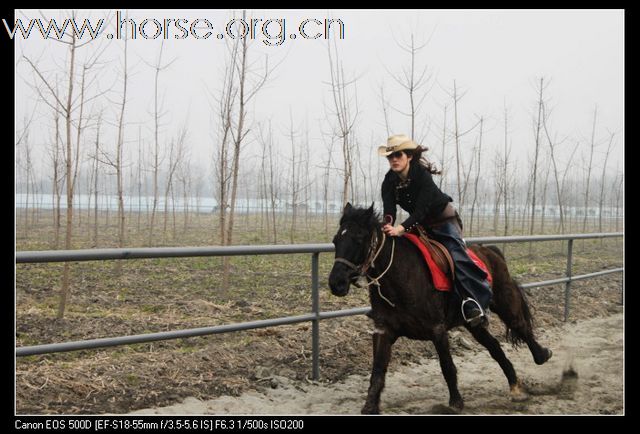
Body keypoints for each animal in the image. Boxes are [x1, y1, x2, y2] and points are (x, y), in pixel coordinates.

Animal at [328, 203, 552, 414]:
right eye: (336, 240)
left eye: (358, 239)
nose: (336, 283)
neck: (401, 275)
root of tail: (491, 251)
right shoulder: (384, 331)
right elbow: (377, 371)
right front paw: (370, 406)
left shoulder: (437, 330)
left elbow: (447, 366)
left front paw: (455, 403)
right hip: (473, 324)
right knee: (495, 347)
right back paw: (515, 386)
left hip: (505, 302)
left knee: (521, 327)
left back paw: (542, 356)